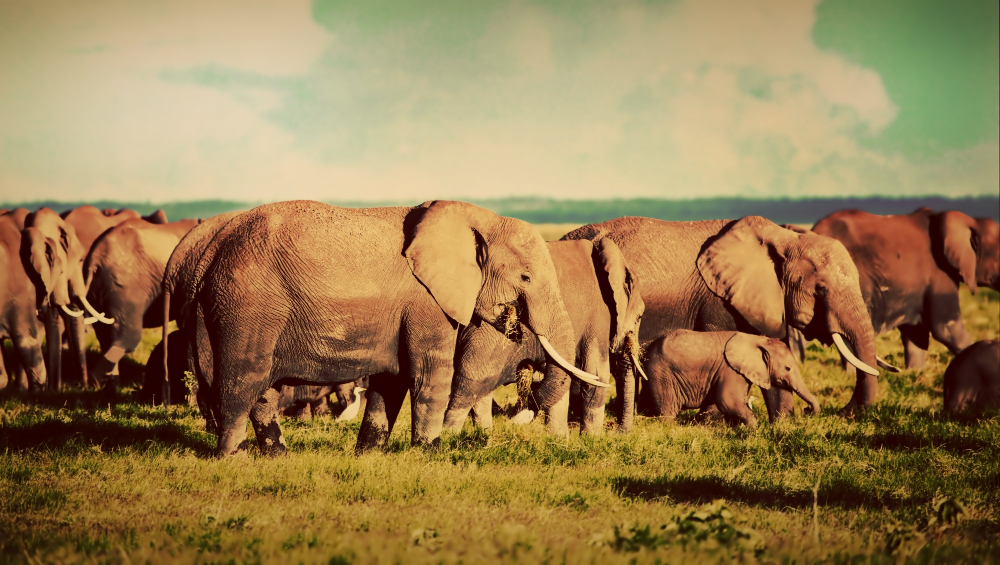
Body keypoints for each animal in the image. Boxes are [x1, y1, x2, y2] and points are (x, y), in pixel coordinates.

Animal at [83, 217, 199, 385]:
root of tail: (95, 258)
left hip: (99, 289)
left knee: (105, 334)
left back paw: (109, 382)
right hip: (126, 287)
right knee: (127, 336)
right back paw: (98, 380)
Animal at [184, 200, 604, 457]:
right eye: (526, 277)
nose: (518, 337)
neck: (473, 217)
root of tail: (210, 249)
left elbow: (393, 380)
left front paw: (369, 454)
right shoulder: (427, 302)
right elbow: (428, 375)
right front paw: (431, 453)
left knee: (263, 389)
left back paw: (278, 457)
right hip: (248, 305)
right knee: (245, 378)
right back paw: (235, 459)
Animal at [442, 237, 645, 435]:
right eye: (639, 317)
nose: (617, 432)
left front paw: (558, 439)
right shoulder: (599, 316)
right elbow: (596, 374)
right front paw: (589, 439)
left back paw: (484, 434)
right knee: (476, 377)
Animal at [562, 215, 880, 418]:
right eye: (821, 290)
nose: (842, 413)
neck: (784, 237)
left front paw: (783, 422)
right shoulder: (718, 300)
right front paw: (715, 419)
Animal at [642, 330, 821, 428]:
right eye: (788, 368)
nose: (807, 410)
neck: (757, 339)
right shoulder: (730, 370)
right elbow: (727, 401)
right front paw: (754, 430)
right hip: (661, 373)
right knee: (668, 411)